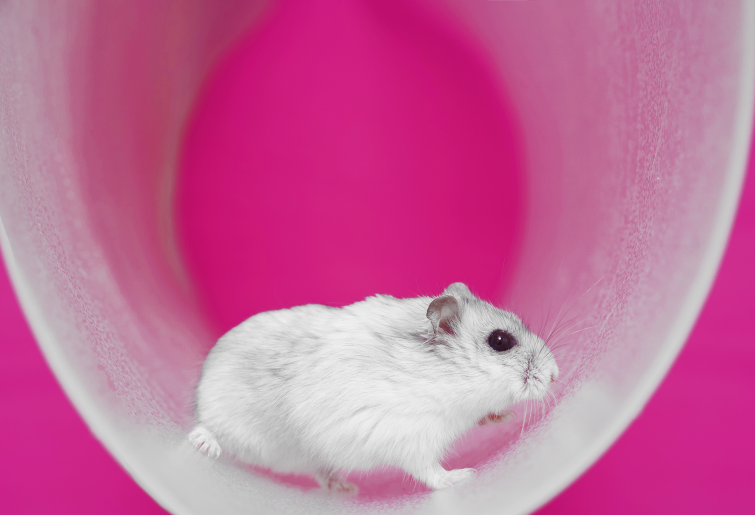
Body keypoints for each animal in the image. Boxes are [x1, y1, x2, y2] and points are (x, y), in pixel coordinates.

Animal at [188, 282, 559, 494]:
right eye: (501, 341)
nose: (556, 374)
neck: (444, 378)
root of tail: (204, 375)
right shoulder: (410, 438)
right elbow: (430, 472)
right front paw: (464, 476)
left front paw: (503, 417)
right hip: (232, 425)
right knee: (210, 428)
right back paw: (203, 444)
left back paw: (344, 488)